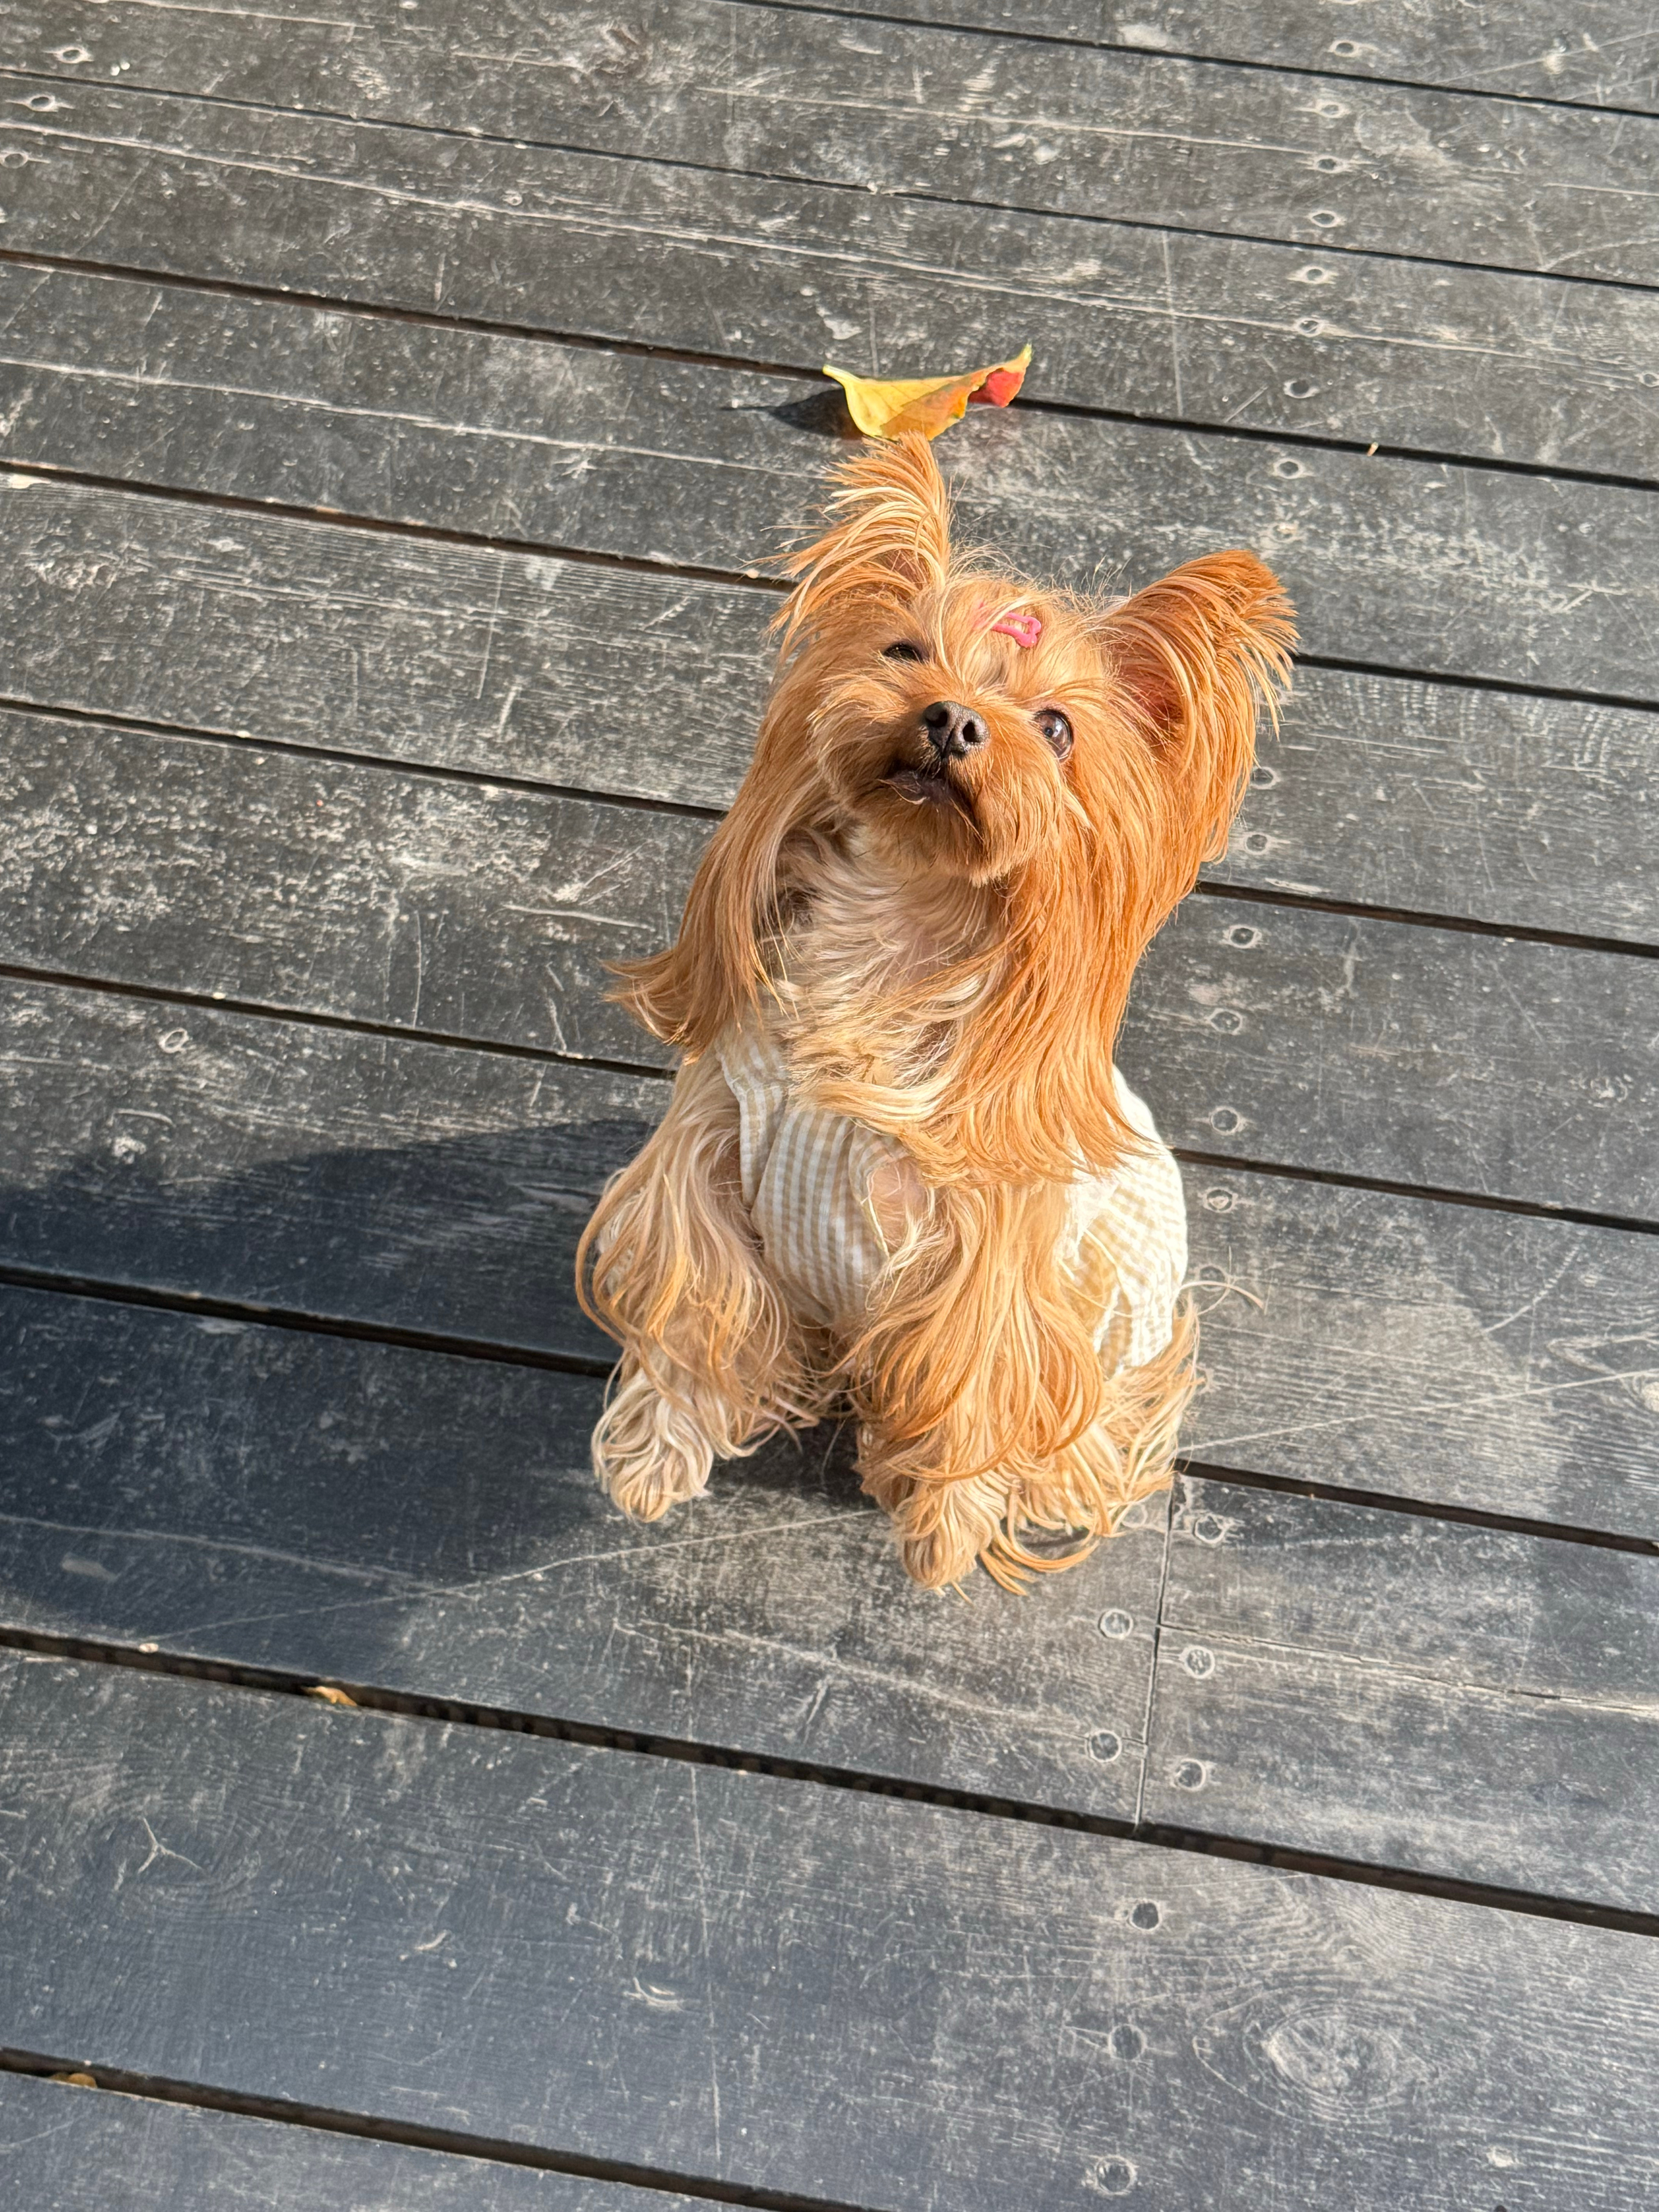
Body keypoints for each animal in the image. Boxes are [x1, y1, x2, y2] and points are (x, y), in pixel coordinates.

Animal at [584, 440, 1300, 1592]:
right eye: (906, 650)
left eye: (1055, 728)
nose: (953, 719)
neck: (893, 927)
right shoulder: (713, 1139)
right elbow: (700, 1296)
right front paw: (653, 1459)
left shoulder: (986, 1249)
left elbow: (970, 1380)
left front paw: (944, 1527)